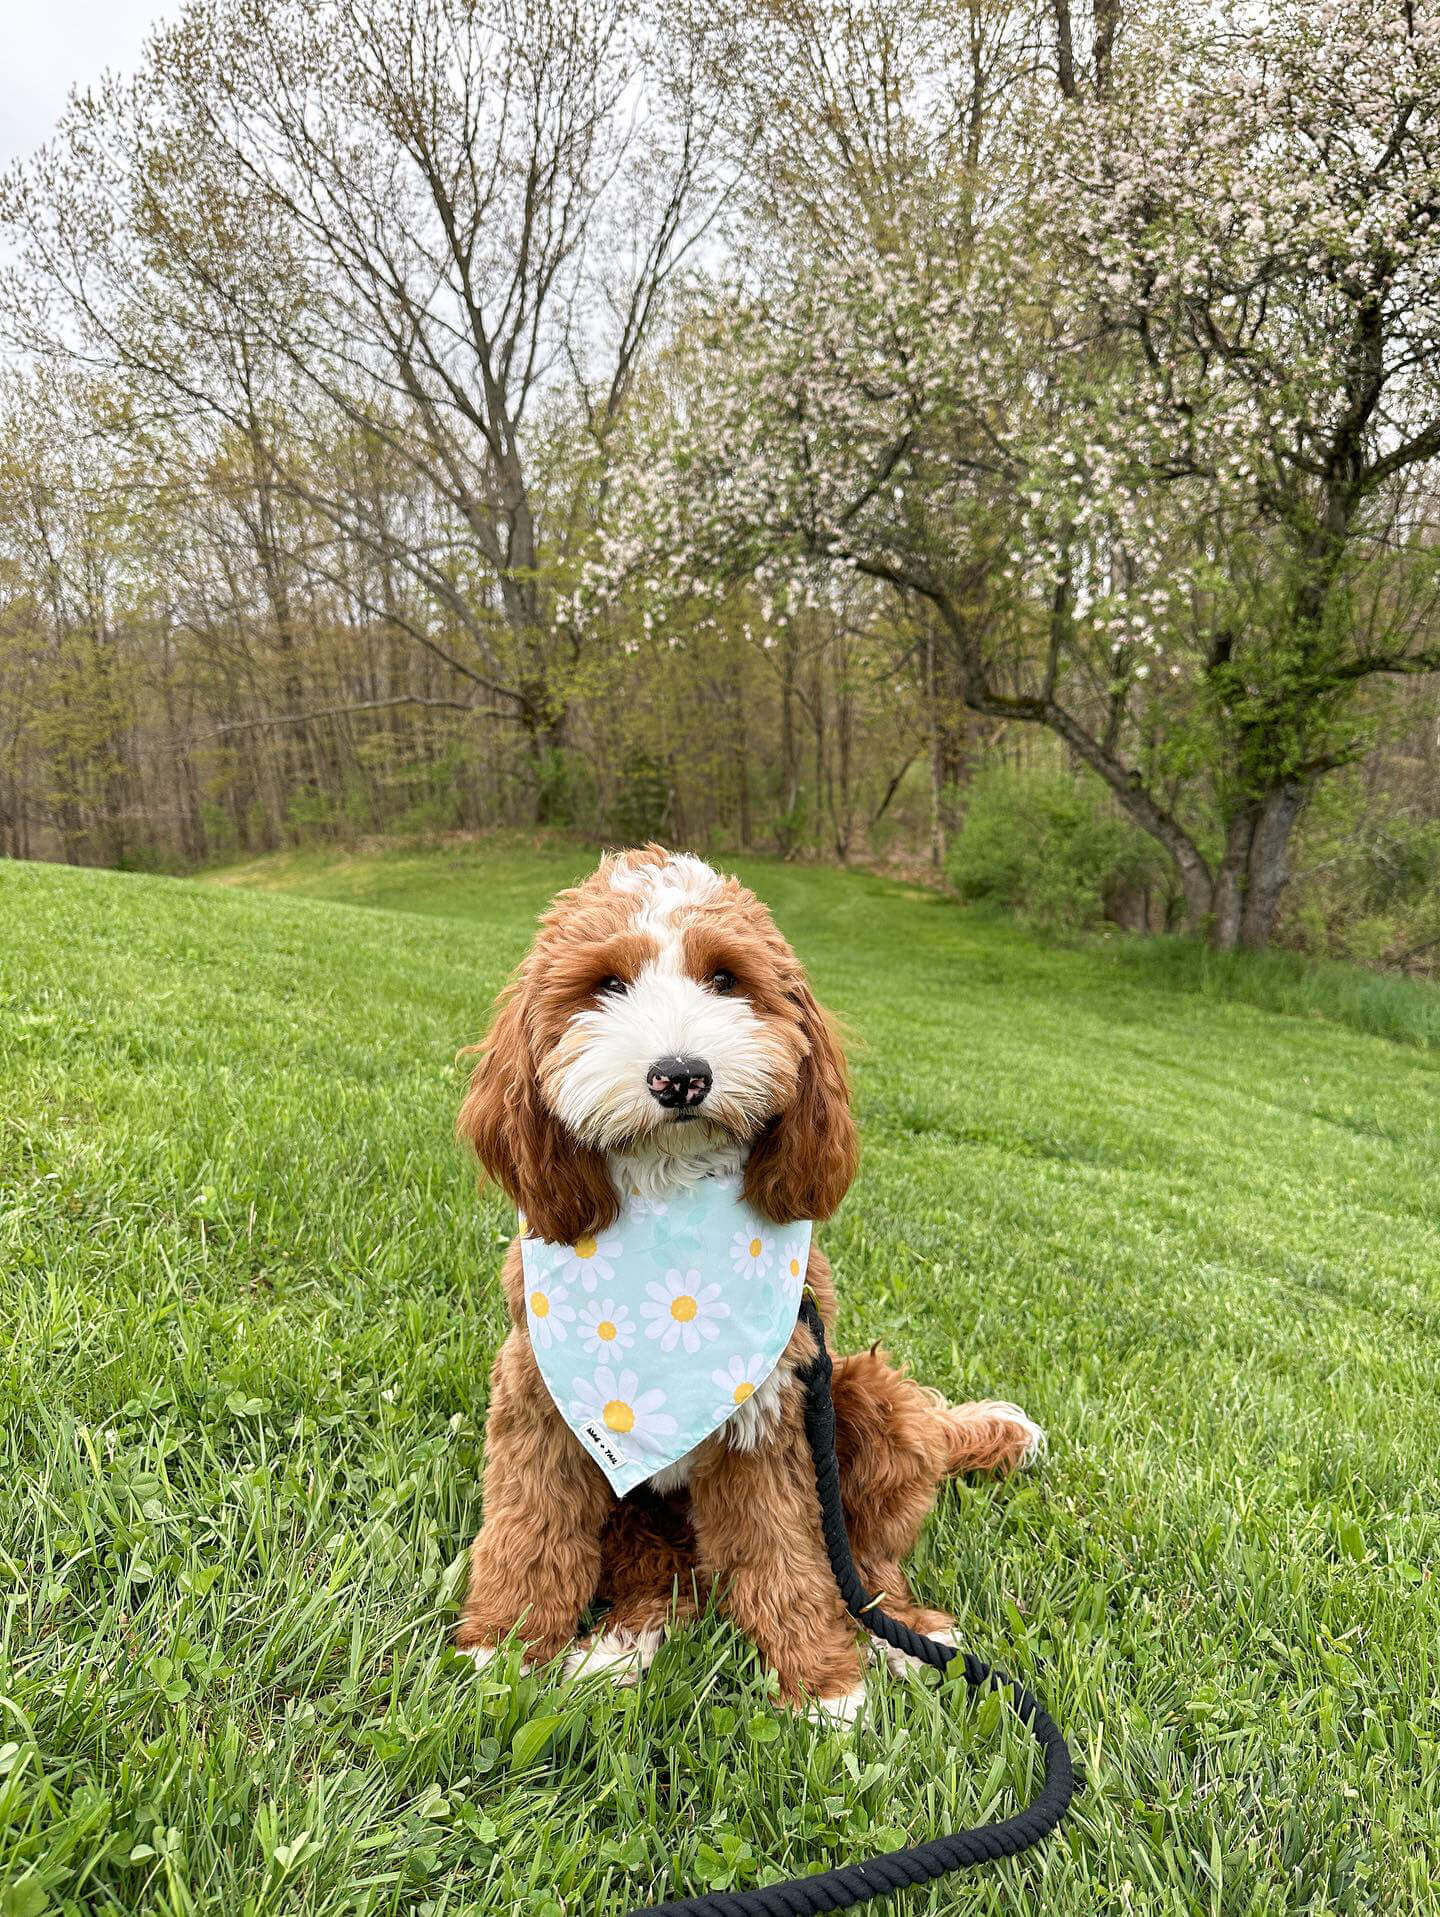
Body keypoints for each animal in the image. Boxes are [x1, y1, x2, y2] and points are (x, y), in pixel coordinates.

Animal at [450, 847, 1035, 1717]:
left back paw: (904, 1637)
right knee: (667, 1579)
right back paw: (615, 1650)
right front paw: (505, 1644)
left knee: (864, 1563)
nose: (680, 1076)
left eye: (725, 978)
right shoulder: (541, 1402)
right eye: (606, 984)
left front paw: (822, 1682)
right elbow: (530, 1524)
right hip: (644, 1511)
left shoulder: (769, 1415)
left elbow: (784, 1550)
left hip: (868, 1399)